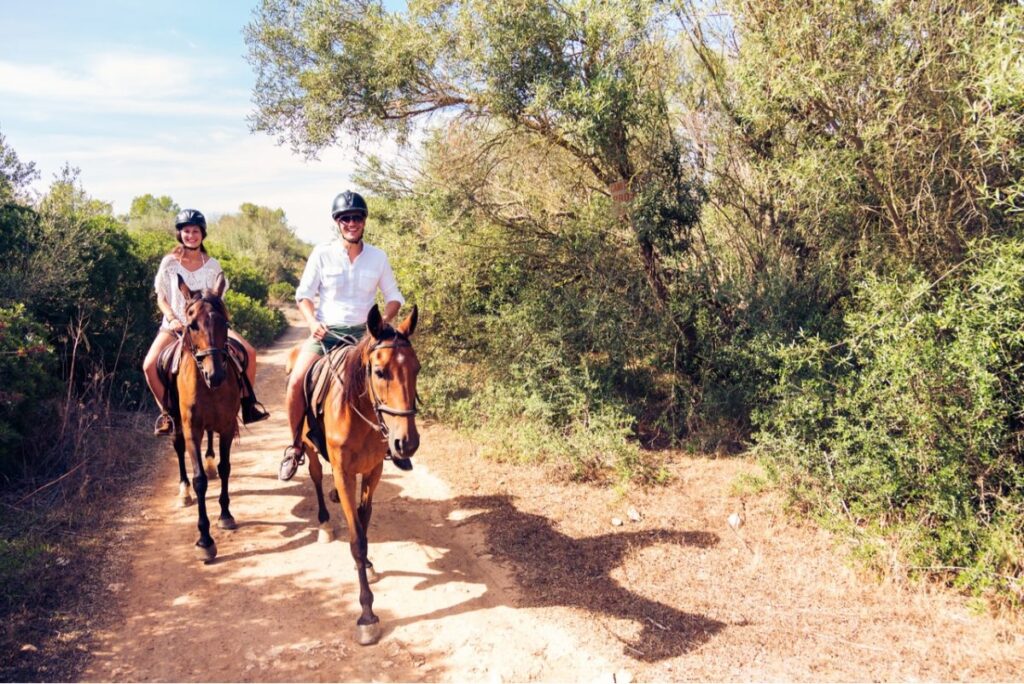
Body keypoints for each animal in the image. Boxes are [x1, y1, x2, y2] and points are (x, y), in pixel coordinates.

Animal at [299, 305, 419, 647]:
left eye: (417, 369)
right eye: (379, 372)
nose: (407, 443)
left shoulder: (373, 470)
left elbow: (364, 523)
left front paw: (365, 564)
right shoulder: (343, 472)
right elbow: (356, 539)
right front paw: (367, 615)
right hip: (309, 448)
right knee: (315, 476)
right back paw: (324, 523)